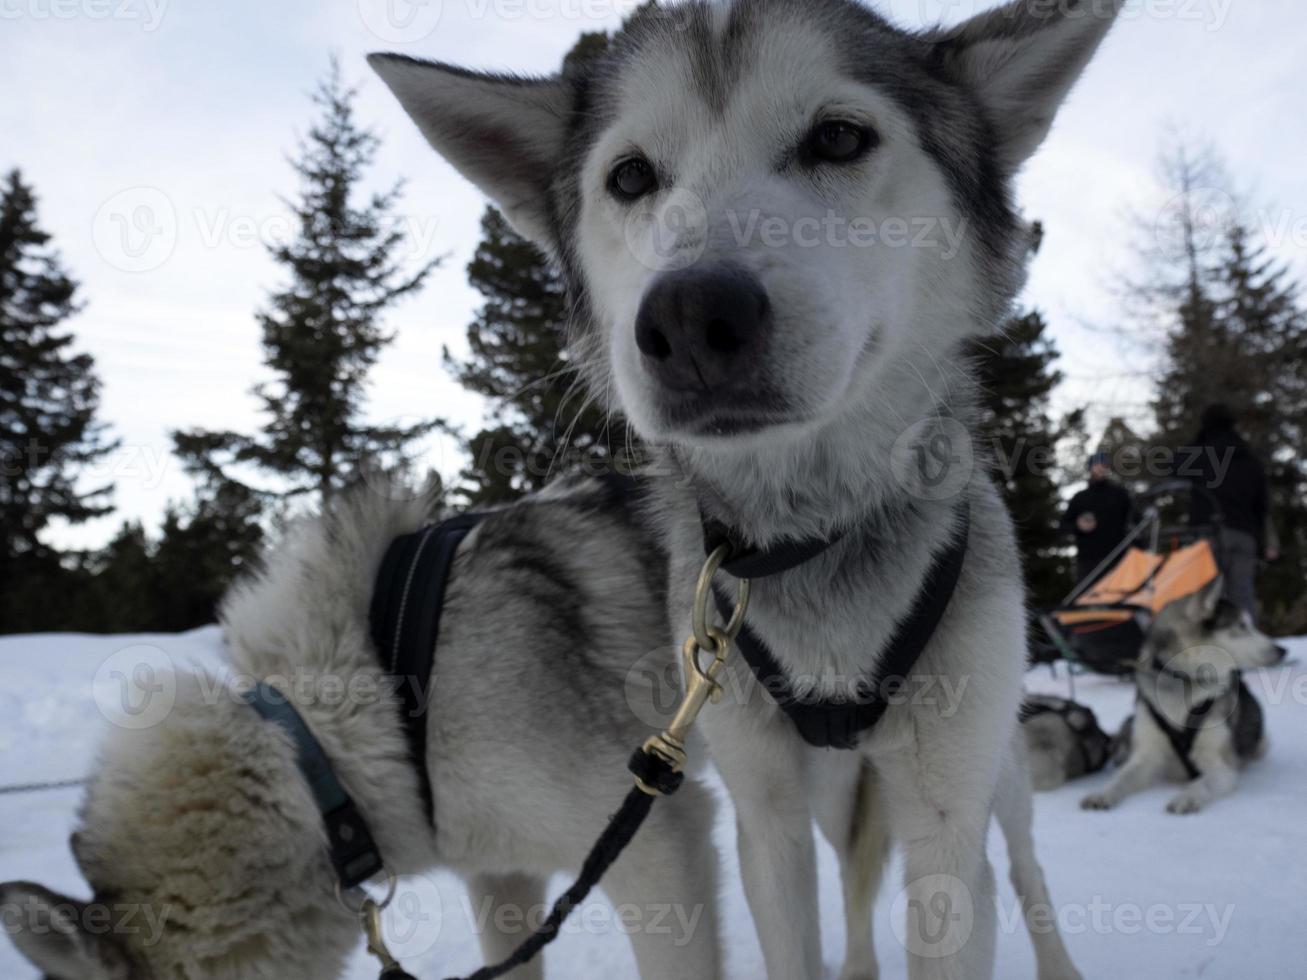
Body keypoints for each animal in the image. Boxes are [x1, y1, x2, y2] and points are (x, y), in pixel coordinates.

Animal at [371, 3, 1124, 977]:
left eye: (838, 137)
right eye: (629, 176)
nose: (689, 316)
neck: (810, 533)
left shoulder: (945, 820)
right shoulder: (765, 815)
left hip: (995, 771)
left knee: (1027, 870)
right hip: (835, 798)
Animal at [1082, 580, 1286, 815]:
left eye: (1248, 624)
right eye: (1242, 626)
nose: (1282, 650)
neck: (1184, 681)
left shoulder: (1221, 767)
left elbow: (1201, 783)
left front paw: (1186, 798)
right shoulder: (1145, 756)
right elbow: (1121, 778)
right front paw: (1102, 794)